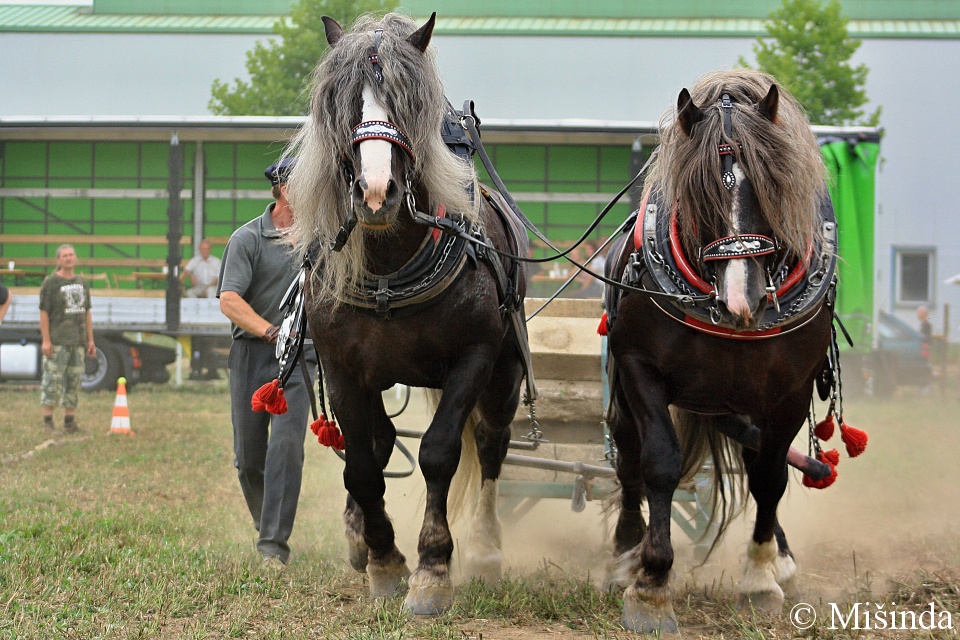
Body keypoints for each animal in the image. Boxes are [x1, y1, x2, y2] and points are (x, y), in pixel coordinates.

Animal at [288, 12, 532, 616]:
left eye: (405, 104)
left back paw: (486, 549)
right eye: (344, 103)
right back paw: (362, 538)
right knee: (375, 446)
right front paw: (384, 560)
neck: (388, 268)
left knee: (491, 444)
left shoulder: (474, 357)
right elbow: (361, 465)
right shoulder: (345, 367)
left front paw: (432, 569)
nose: (377, 193)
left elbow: (440, 453)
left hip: (504, 374)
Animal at [608, 69, 840, 632]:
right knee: (627, 456)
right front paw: (650, 581)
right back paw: (626, 552)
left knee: (758, 458)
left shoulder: (790, 393)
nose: (743, 299)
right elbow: (658, 464)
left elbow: (771, 476)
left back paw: (780, 559)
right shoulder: (639, 369)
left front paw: (759, 579)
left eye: (772, 184)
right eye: (699, 195)